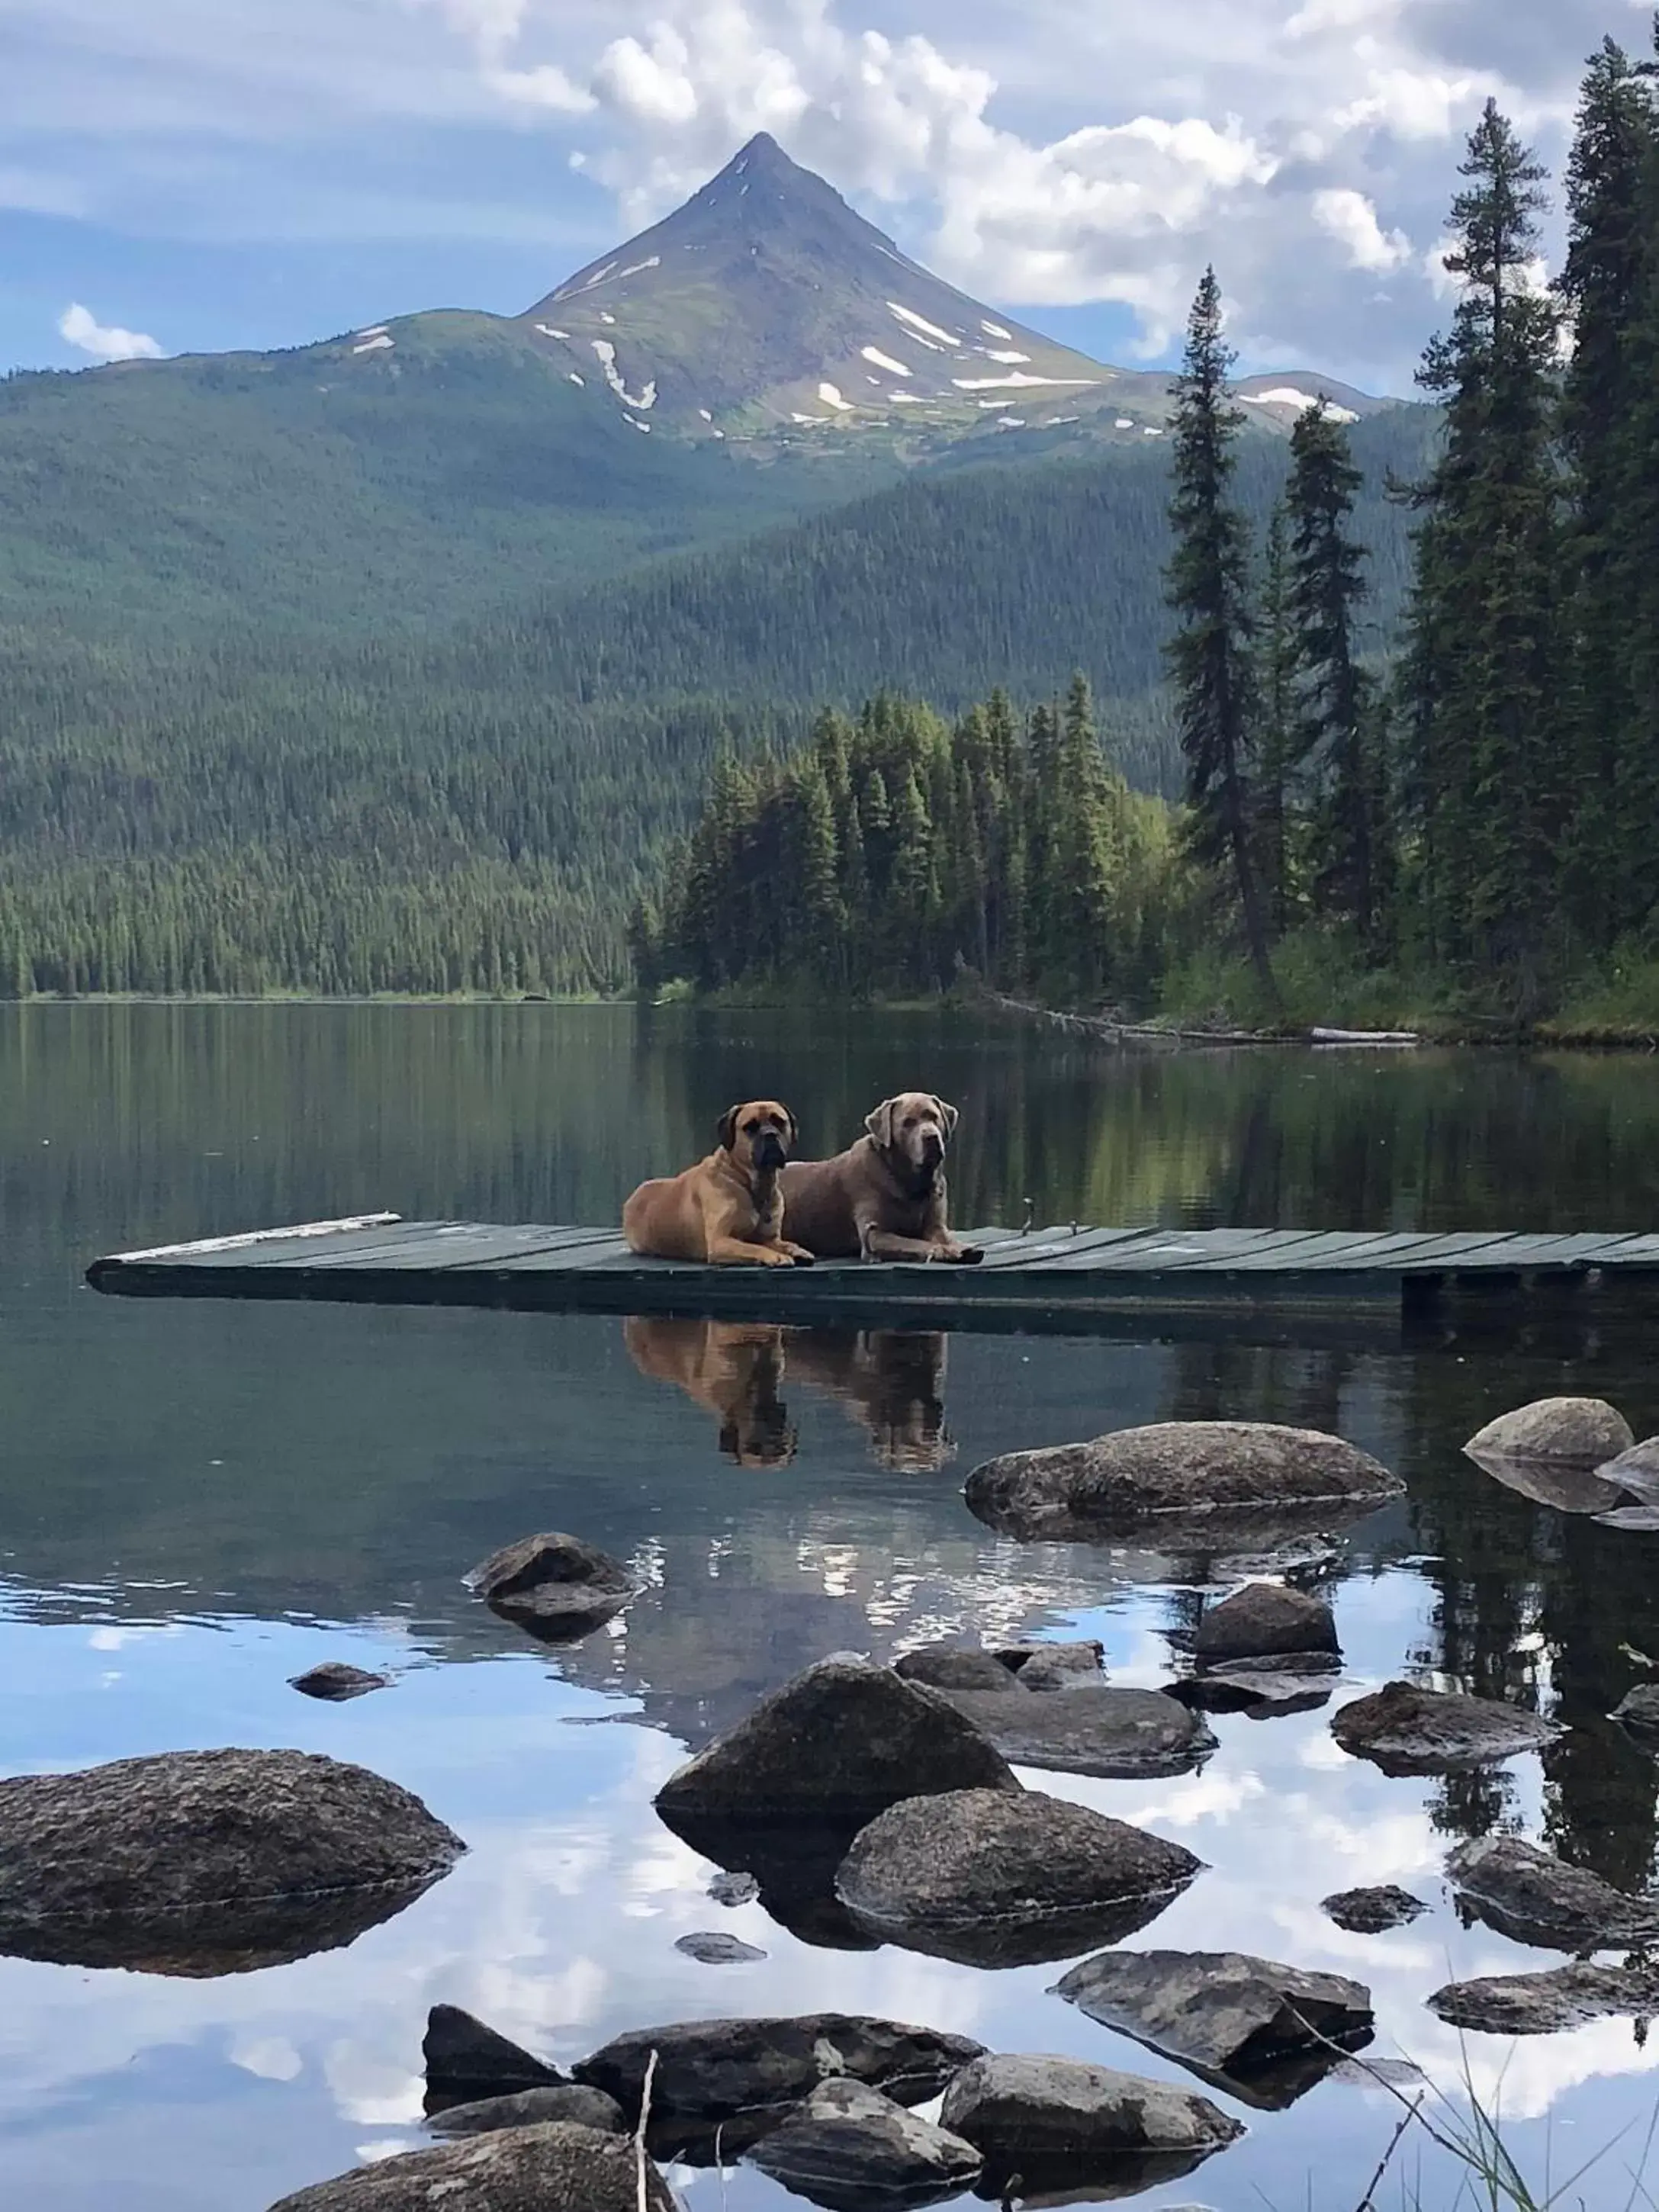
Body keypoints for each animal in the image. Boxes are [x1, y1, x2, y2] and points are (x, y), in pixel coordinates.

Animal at [623, 1101, 818, 1274]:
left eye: (779, 1121)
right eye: (750, 1127)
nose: (770, 1134)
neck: (752, 1184)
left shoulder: (769, 1237)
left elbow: (781, 1243)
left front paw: (795, 1249)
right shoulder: (720, 1242)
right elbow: (752, 1248)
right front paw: (776, 1256)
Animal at [783, 1088, 982, 1265]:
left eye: (934, 1117)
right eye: (908, 1122)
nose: (931, 1137)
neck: (911, 1182)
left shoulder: (935, 1224)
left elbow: (943, 1237)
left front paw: (962, 1248)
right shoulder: (874, 1234)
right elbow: (915, 1243)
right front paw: (946, 1251)